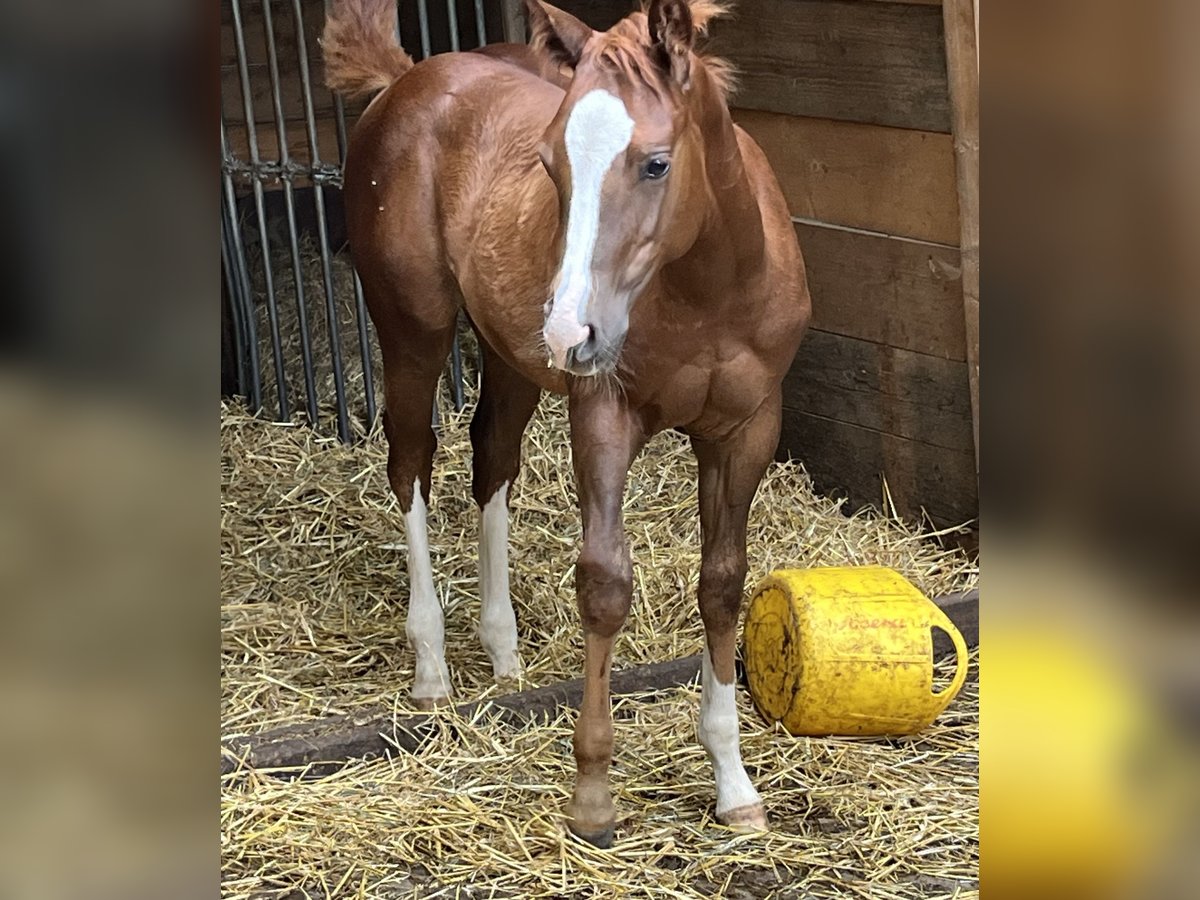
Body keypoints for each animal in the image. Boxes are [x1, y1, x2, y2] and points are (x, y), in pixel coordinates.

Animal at [324, 0, 811, 849]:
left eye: (656, 164)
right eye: (549, 165)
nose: (569, 332)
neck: (711, 288)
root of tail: (408, 78)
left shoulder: (746, 428)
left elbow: (721, 584)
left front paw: (735, 786)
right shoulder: (604, 415)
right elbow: (606, 585)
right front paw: (592, 797)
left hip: (509, 355)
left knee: (492, 457)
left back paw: (505, 653)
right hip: (415, 330)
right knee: (410, 460)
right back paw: (432, 668)